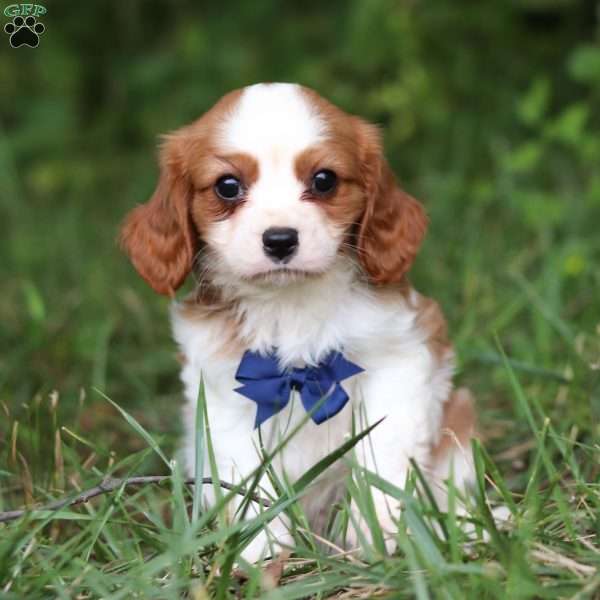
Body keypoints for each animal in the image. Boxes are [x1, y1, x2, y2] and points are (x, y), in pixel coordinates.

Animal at [119, 82, 476, 560]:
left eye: (324, 180)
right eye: (227, 187)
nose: (280, 239)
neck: (289, 304)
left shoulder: (402, 358)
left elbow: (382, 456)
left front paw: (379, 533)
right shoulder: (222, 391)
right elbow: (243, 473)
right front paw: (259, 550)